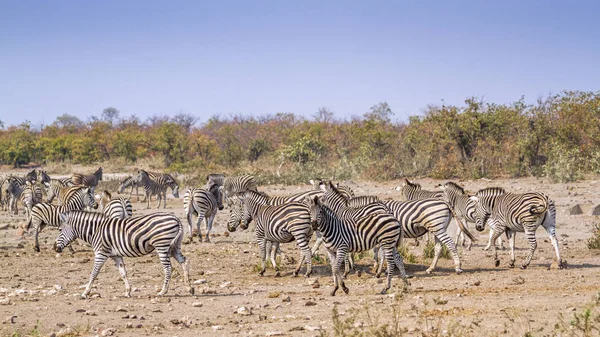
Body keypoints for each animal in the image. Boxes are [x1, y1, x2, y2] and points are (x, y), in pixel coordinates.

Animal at [54, 209, 193, 298]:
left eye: (60, 229)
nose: (54, 247)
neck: (95, 230)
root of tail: (176, 218)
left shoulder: (101, 253)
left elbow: (94, 273)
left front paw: (85, 292)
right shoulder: (116, 255)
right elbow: (123, 273)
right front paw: (127, 292)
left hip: (162, 245)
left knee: (168, 268)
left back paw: (163, 292)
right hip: (174, 246)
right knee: (185, 262)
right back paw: (189, 287)